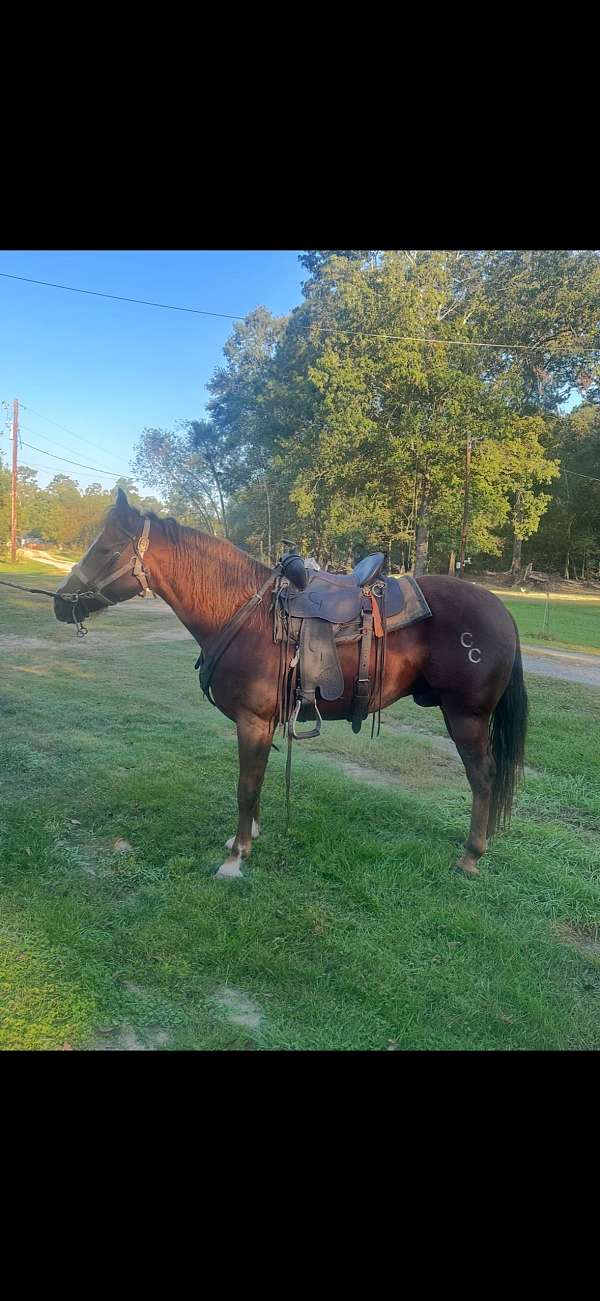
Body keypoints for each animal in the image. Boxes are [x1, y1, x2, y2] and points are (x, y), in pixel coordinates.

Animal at [53, 489, 528, 880]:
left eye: (109, 548)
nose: (61, 602)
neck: (243, 613)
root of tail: (502, 612)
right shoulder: (261, 724)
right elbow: (257, 781)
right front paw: (246, 838)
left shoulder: (253, 721)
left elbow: (245, 788)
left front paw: (235, 859)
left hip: (466, 716)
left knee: (482, 776)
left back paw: (471, 855)